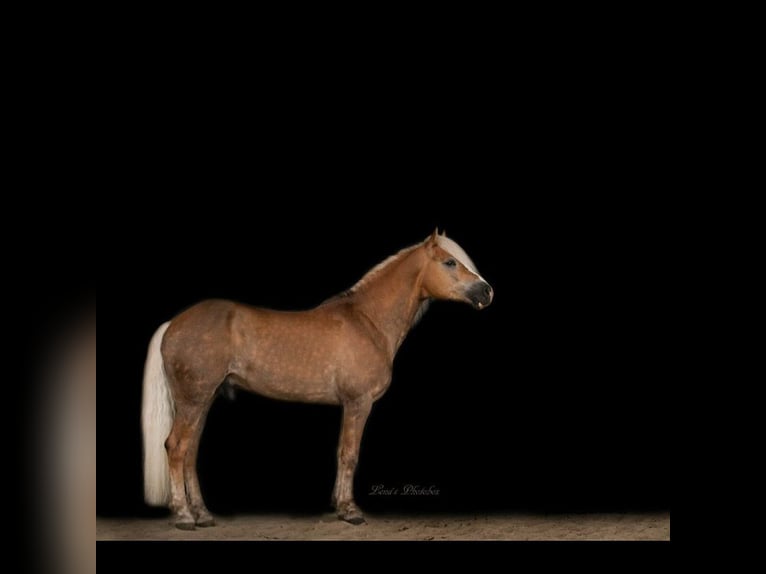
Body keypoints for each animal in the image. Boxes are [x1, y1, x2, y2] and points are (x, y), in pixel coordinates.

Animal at [141, 230, 496, 532]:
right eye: (449, 262)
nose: (487, 291)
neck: (368, 321)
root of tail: (174, 323)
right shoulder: (358, 403)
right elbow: (350, 454)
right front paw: (351, 512)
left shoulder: (348, 406)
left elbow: (340, 452)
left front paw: (339, 507)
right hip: (193, 400)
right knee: (176, 448)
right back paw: (185, 517)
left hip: (204, 399)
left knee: (189, 453)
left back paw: (203, 515)